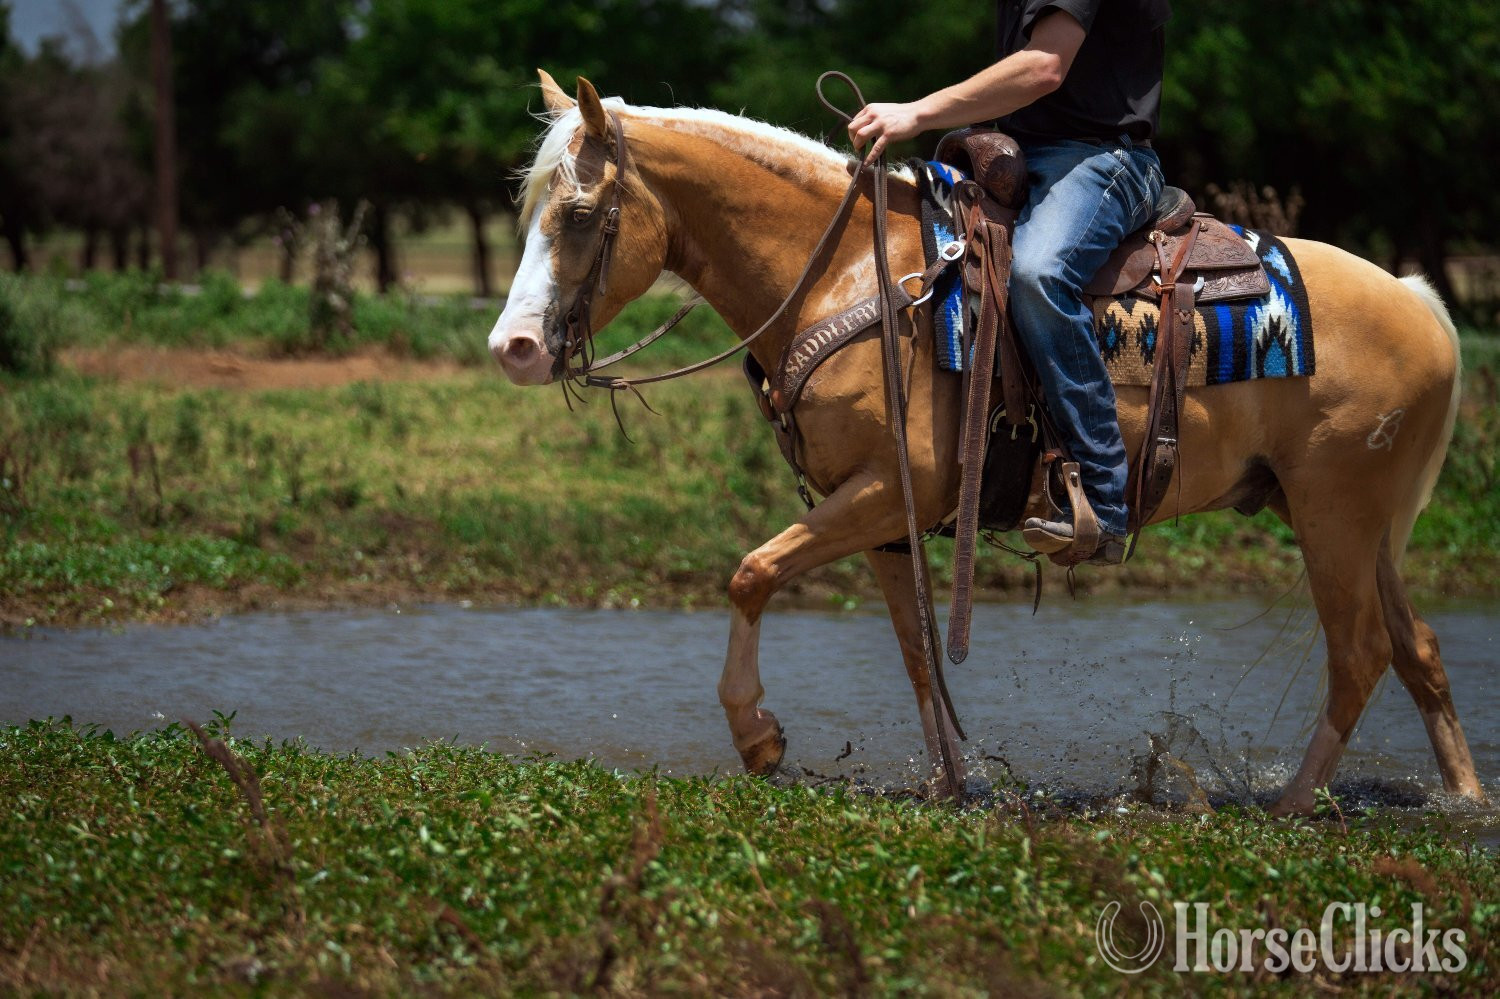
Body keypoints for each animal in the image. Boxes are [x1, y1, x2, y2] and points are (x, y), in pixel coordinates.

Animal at [488, 71, 1484, 816]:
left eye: (580, 215)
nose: (514, 348)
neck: (851, 273)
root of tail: (1415, 298)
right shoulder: (881, 514)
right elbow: (918, 652)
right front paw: (950, 783)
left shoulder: (889, 491)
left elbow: (752, 571)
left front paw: (757, 736)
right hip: (1363, 525)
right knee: (1420, 650)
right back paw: (1464, 799)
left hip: (1333, 514)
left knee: (1358, 653)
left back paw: (1290, 806)